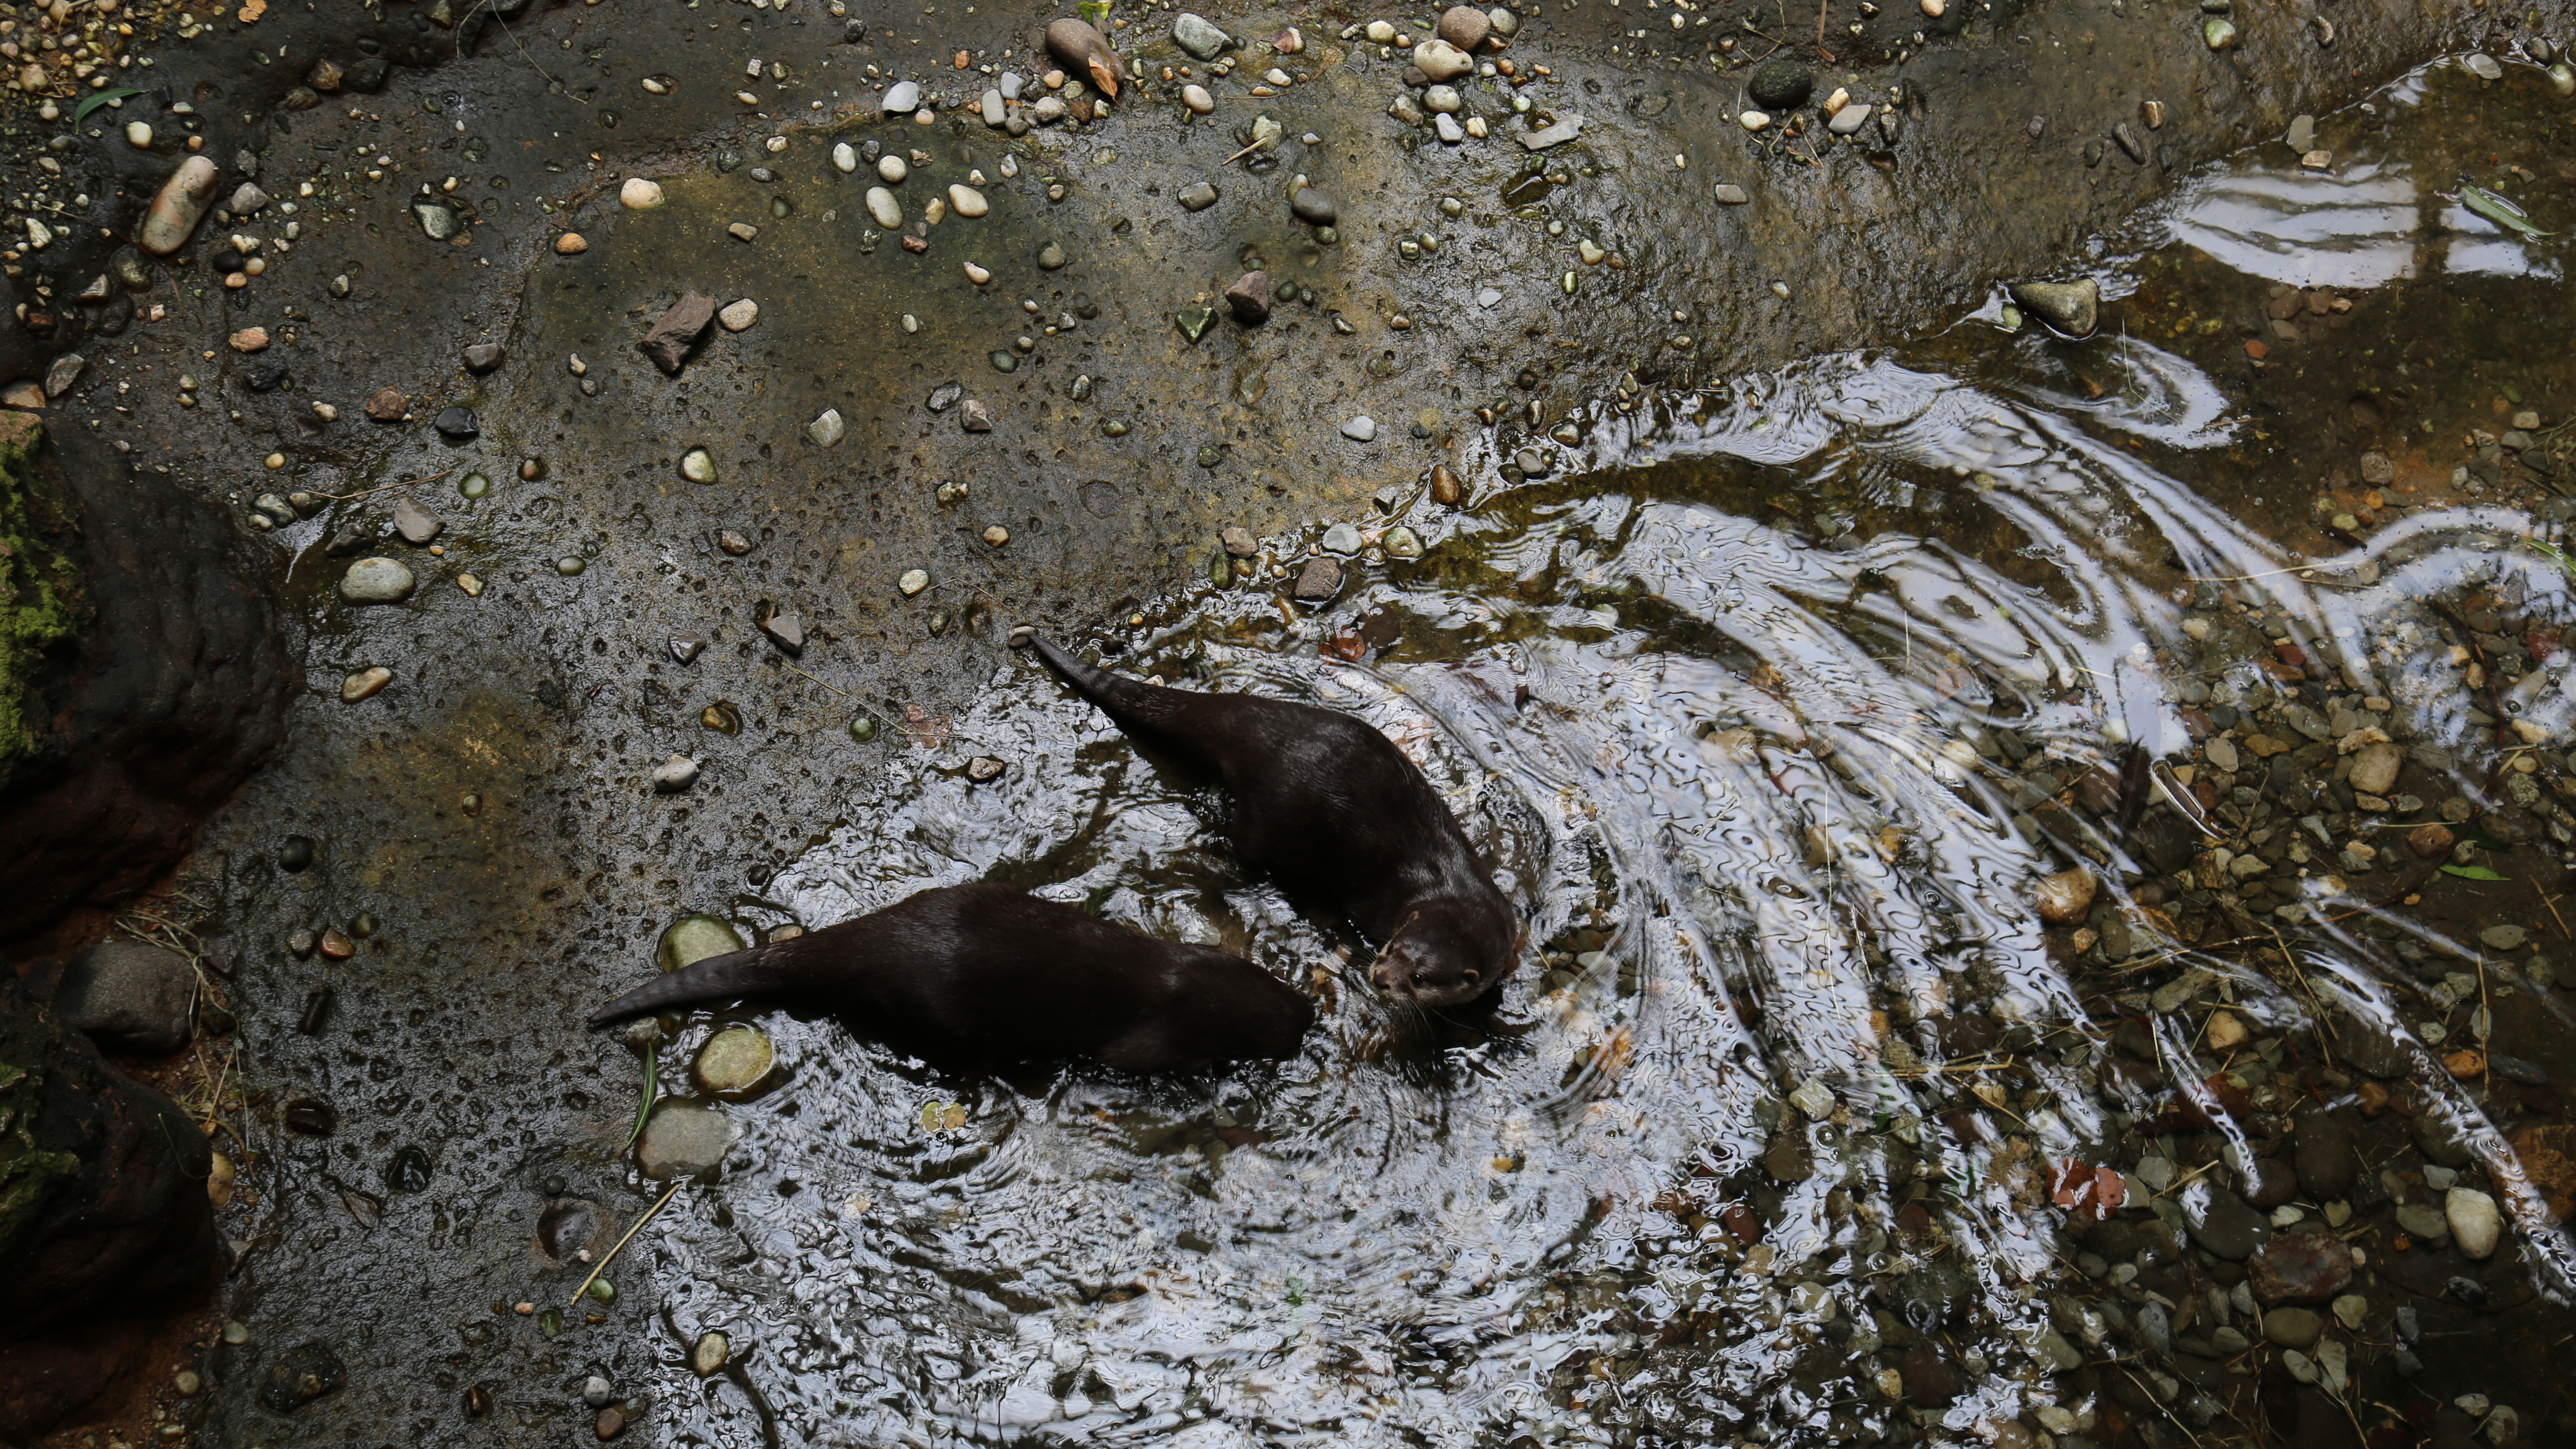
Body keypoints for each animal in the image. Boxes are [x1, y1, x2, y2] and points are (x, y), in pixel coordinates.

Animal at [1020, 634, 1517, 1008]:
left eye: (1419, 976)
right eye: (1392, 948)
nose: (1379, 976)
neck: (1451, 889)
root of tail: (1265, 731)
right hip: (1274, 821)